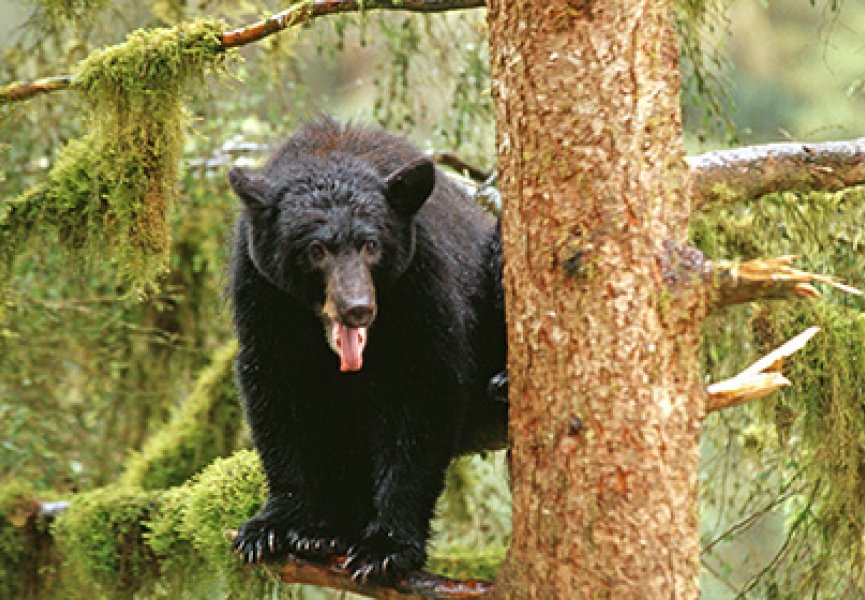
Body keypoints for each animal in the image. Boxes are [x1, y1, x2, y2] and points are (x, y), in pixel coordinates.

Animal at [226, 117, 506, 580]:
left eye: (371, 245)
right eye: (315, 249)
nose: (358, 308)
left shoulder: (423, 278)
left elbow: (424, 394)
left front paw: (384, 548)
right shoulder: (261, 292)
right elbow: (275, 393)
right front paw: (274, 526)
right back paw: (327, 531)